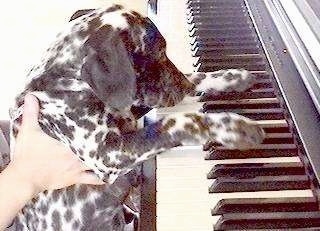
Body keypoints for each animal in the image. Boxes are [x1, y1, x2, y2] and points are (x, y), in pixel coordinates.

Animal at [7, 4, 264, 231]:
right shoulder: (108, 155)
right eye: (159, 52)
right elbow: (173, 123)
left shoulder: (130, 108)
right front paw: (232, 127)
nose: (182, 86)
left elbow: (195, 77)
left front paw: (230, 77)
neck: (66, 82)